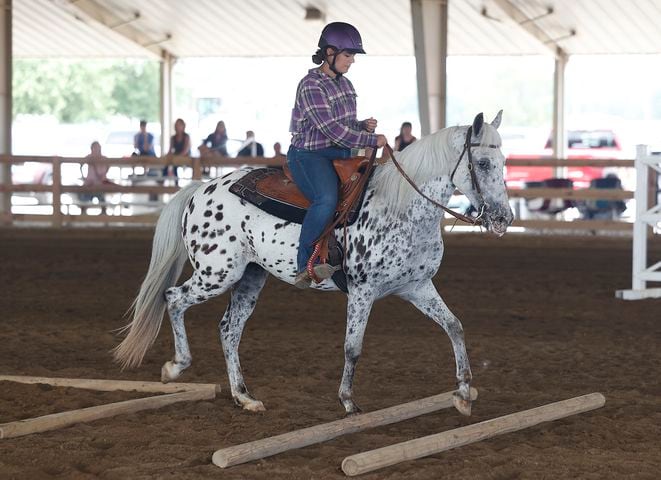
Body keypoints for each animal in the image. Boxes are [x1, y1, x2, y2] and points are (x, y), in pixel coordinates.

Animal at [116, 112, 512, 416]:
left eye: (504, 162)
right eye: (482, 163)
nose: (503, 218)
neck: (400, 207)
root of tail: (198, 190)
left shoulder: (416, 286)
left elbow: (455, 327)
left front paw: (464, 393)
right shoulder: (363, 290)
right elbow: (353, 347)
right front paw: (348, 401)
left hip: (250, 277)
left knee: (229, 329)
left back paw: (244, 397)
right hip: (216, 273)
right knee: (173, 298)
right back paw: (175, 367)